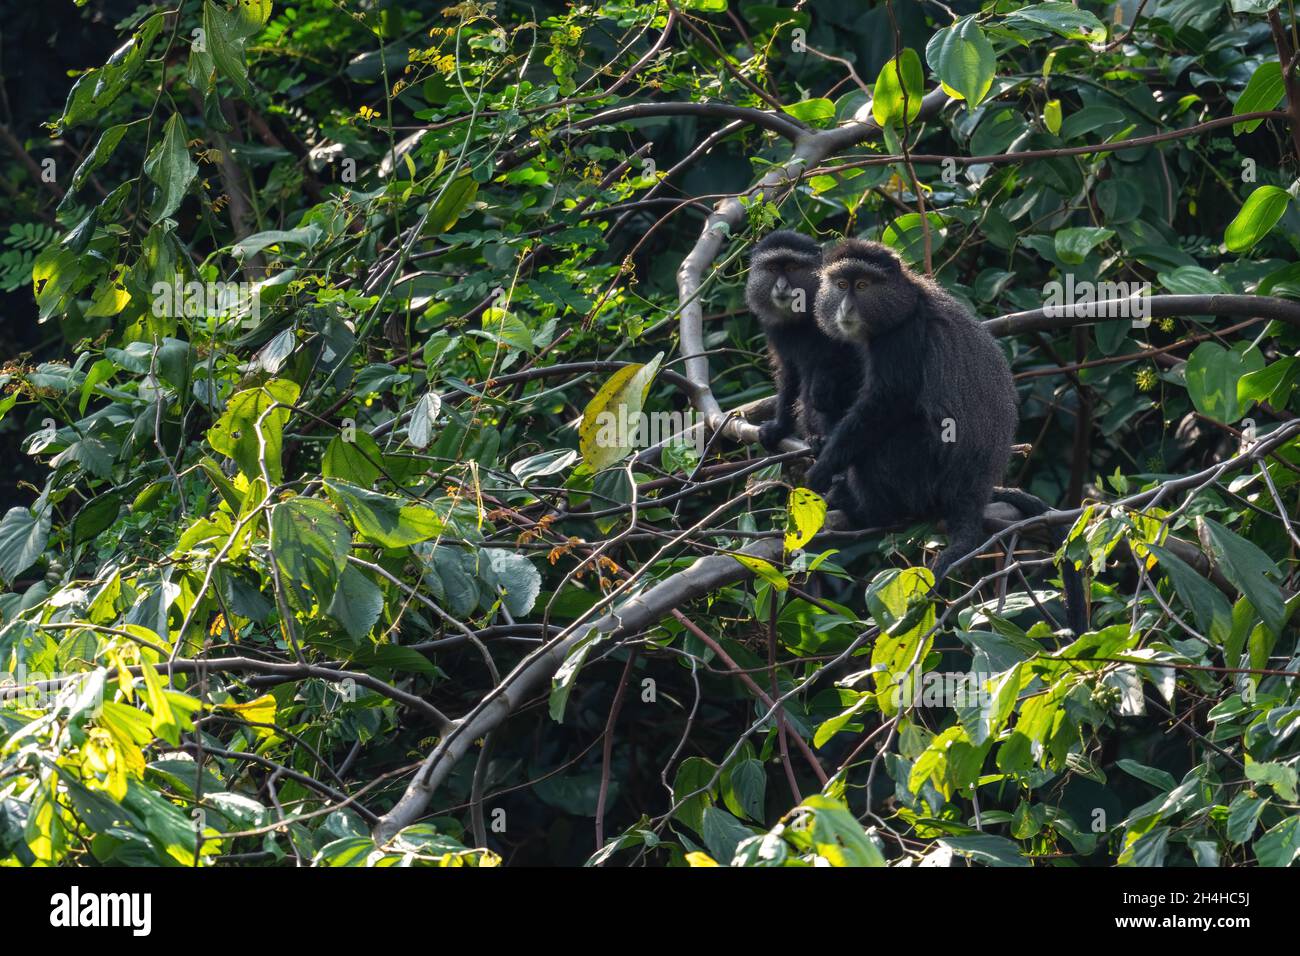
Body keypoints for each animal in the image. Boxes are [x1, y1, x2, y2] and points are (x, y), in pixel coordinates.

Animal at [744, 230, 863, 457]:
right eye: (773, 269)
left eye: (792, 268)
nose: (781, 286)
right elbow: (790, 372)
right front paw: (779, 427)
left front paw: (822, 382)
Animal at [804, 239, 1086, 633]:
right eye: (841, 285)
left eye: (862, 286)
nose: (845, 307)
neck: (907, 299)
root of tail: (972, 490)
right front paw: (818, 442)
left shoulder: (902, 337)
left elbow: (887, 402)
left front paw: (824, 466)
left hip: (918, 471)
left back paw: (865, 508)